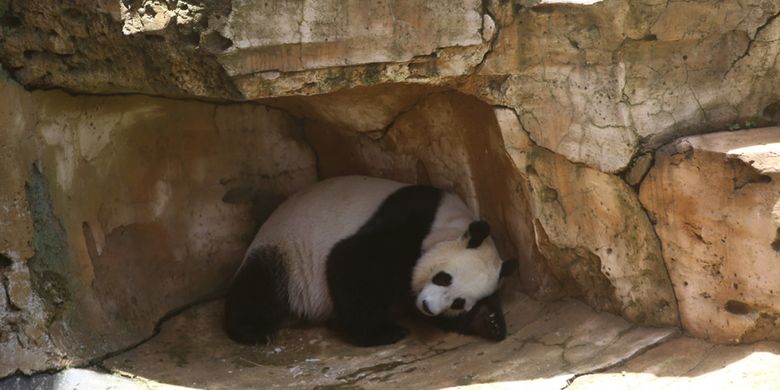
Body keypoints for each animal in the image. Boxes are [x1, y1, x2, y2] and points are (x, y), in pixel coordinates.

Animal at [225, 175, 516, 346]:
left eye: (459, 302)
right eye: (443, 278)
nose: (428, 306)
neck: (451, 222)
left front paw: (489, 321)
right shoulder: (411, 219)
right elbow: (352, 260)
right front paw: (380, 332)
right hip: (287, 253)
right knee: (260, 287)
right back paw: (253, 331)